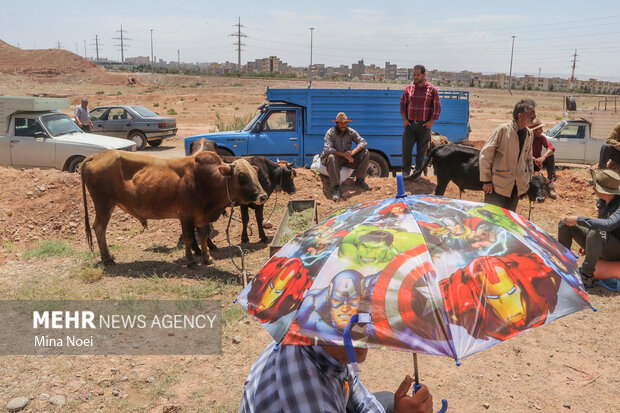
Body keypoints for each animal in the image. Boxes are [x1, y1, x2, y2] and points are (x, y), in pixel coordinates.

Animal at [81, 150, 266, 266]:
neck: (205, 179)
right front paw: (190, 261)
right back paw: (107, 258)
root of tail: (96, 156)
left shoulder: (202, 218)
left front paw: (207, 258)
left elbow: (203, 237)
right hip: (104, 205)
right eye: (242, 176)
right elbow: (189, 239)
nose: (263, 196)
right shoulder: (185, 216)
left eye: (255, 175)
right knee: (99, 228)